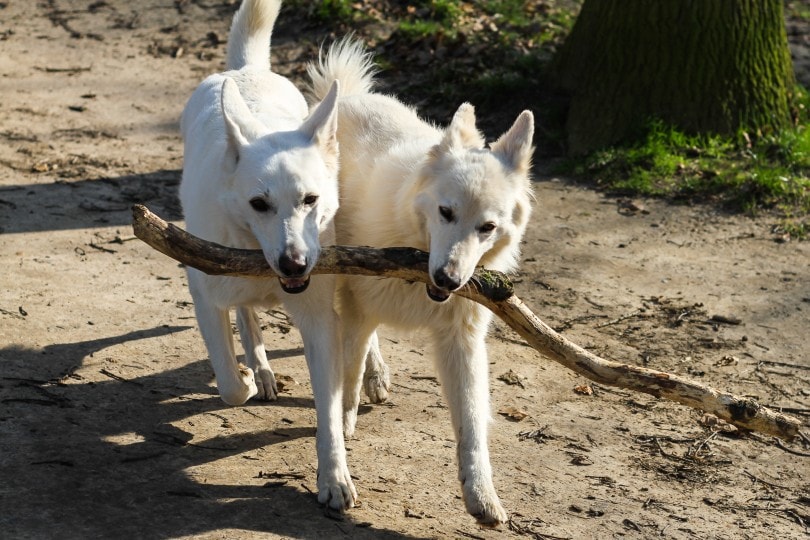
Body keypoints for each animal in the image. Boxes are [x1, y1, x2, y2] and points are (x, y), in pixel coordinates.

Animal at [177, 0, 354, 512]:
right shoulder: (204, 295)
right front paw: (247, 378)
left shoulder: (318, 319)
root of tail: (245, 71)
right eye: (259, 204)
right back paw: (260, 369)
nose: (295, 264)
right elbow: (228, 383)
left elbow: (329, 411)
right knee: (245, 315)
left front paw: (334, 476)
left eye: (311, 200)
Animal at [306, 38, 532, 524]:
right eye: (446, 212)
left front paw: (481, 494)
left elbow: (472, 425)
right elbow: (347, 370)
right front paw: (345, 422)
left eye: (487, 227)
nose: (448, 278)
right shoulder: (358, 305)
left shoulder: (461, 343)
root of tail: (351, 97)